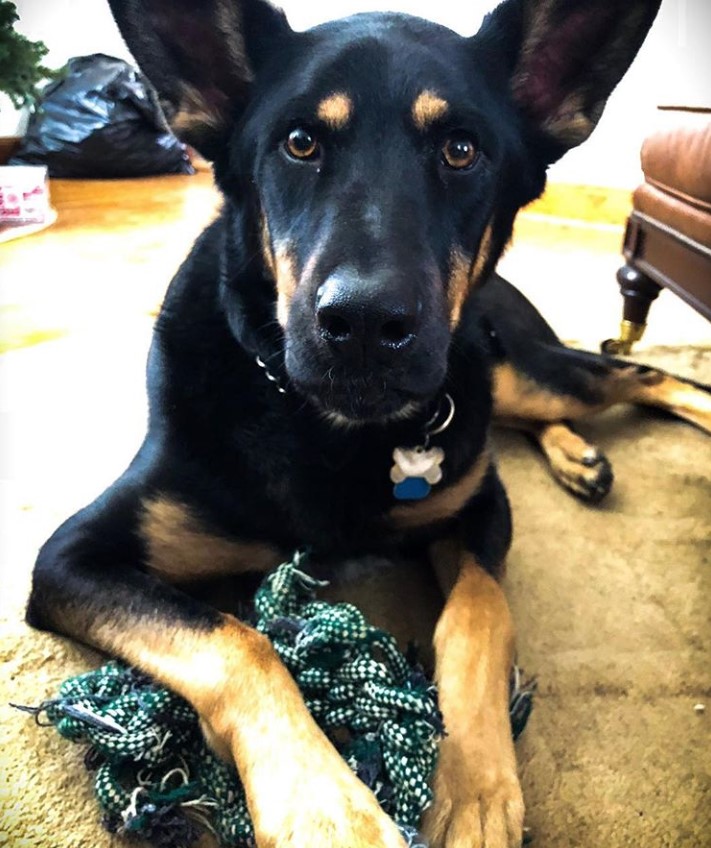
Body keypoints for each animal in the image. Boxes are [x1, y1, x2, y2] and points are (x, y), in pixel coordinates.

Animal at [26, 1, 711, 848]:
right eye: (299, 142)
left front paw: (475, 786)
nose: (361, 324)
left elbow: (478, 615)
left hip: (517, 371)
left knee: (637, 376)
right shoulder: (71, 559)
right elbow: (235, 639)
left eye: (460, 149)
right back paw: (577, 457)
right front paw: (328, 811)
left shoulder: (479, 505)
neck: (325, 427)